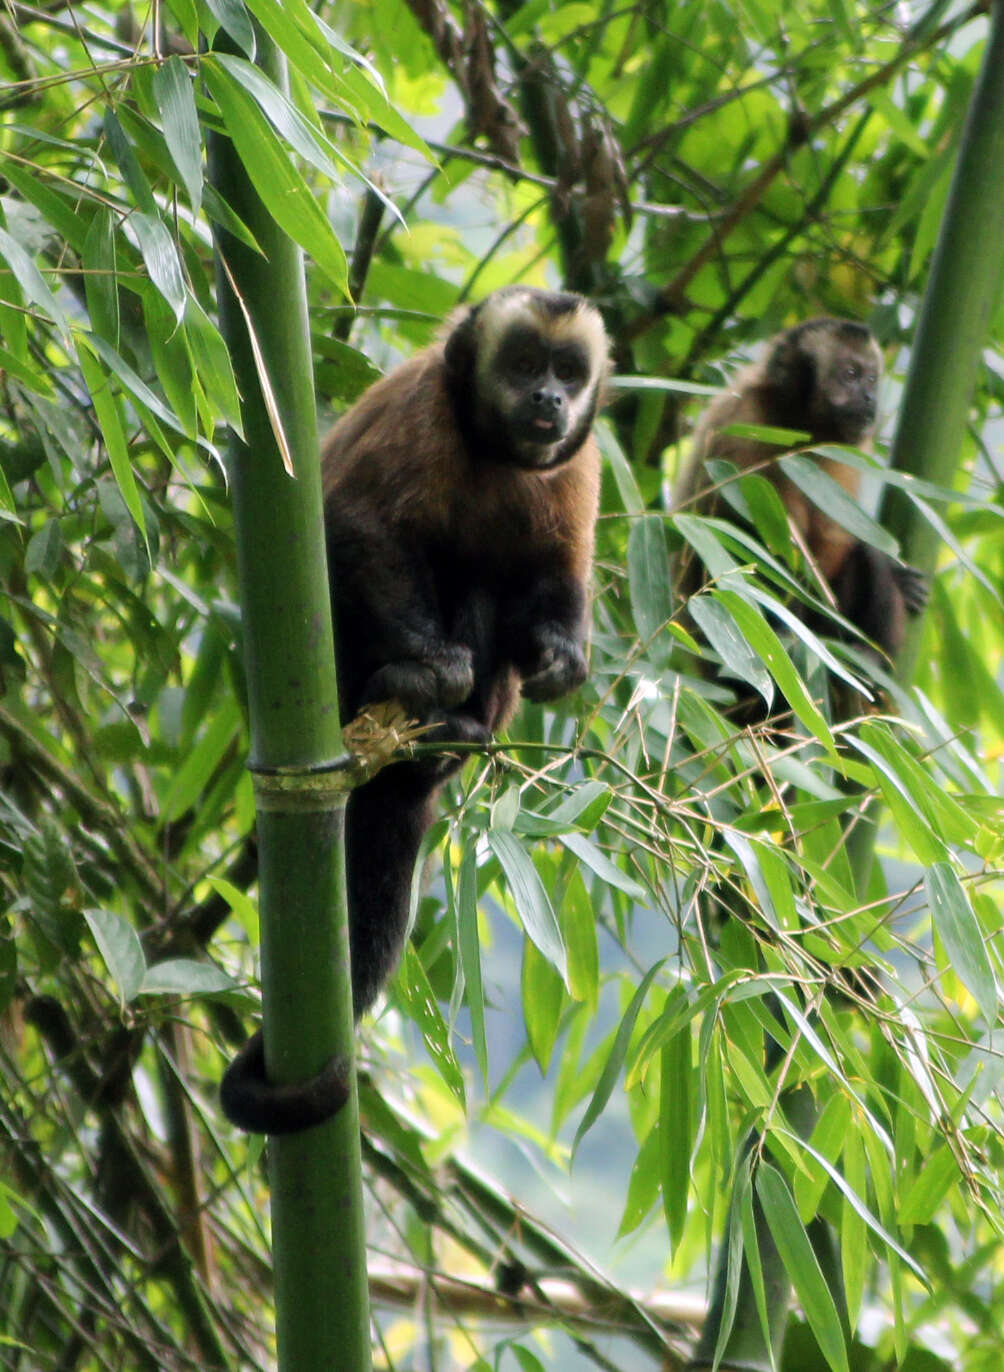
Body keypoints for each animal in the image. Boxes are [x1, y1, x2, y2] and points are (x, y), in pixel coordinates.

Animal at [220, 284, 608, 1130]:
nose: (549, 400)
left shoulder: (582, 461)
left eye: (567, 370)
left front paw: (560, 654)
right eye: (524, 364)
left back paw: (451, 736)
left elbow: (552, 581)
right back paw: (411, 689)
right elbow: (359, 525)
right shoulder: (421, 409)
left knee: (493, 580)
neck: (494, 452)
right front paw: (432, 664)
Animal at [674, 318, 927, 686]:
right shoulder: (745, 422)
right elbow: (753, 541)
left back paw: (870, 657)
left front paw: (900, 577)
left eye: (870, 379)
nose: (869, 397)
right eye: (850, 374)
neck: (801, 425)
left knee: (861, 551)